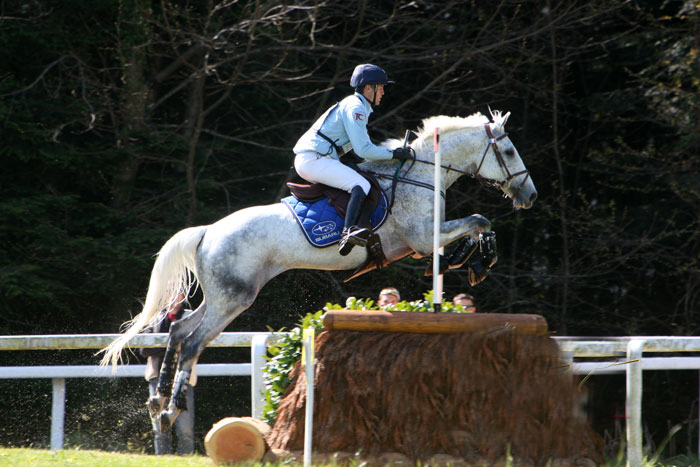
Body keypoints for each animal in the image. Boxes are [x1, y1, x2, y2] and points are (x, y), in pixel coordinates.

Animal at [97, 109, 536, 432]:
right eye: (510, 151)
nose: (530, 195)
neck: (420, 175)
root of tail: (208, 231)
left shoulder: (418, 245)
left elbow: (475, 228)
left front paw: (473, 260)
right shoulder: (423, 239)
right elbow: (479, 220)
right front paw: (479, 260)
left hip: (223, 295)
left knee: (178, 331)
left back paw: (159, 404)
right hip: (234, 298)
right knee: (191, 343)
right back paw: (171, 408)